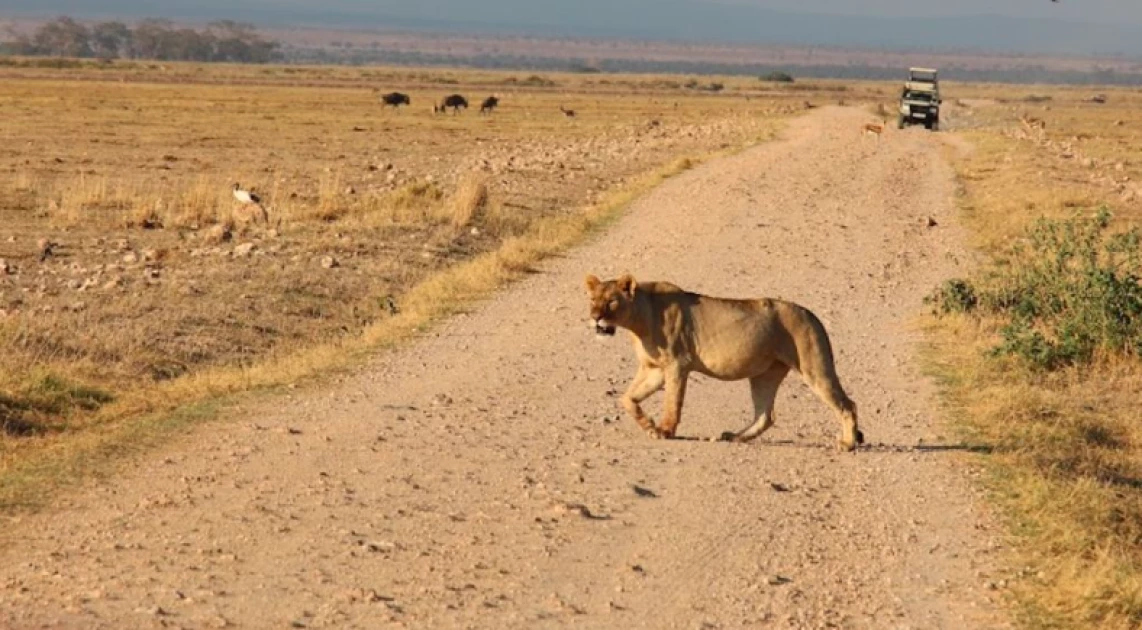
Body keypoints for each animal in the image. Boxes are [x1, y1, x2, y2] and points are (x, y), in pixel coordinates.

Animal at [584, 274, 863, 451]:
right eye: (592, 300)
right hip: (765, 374)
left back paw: (848, 443)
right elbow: (627, 399)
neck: (638, 320)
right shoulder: (654, 369)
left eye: (611, 301)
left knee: (847, 404)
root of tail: (811, 315)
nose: (595, 317)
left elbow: (672, 402)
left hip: (814, 367)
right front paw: (649, 425)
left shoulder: (677, 364)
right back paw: (735, 437)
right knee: (765, 415)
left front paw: (664, 430)